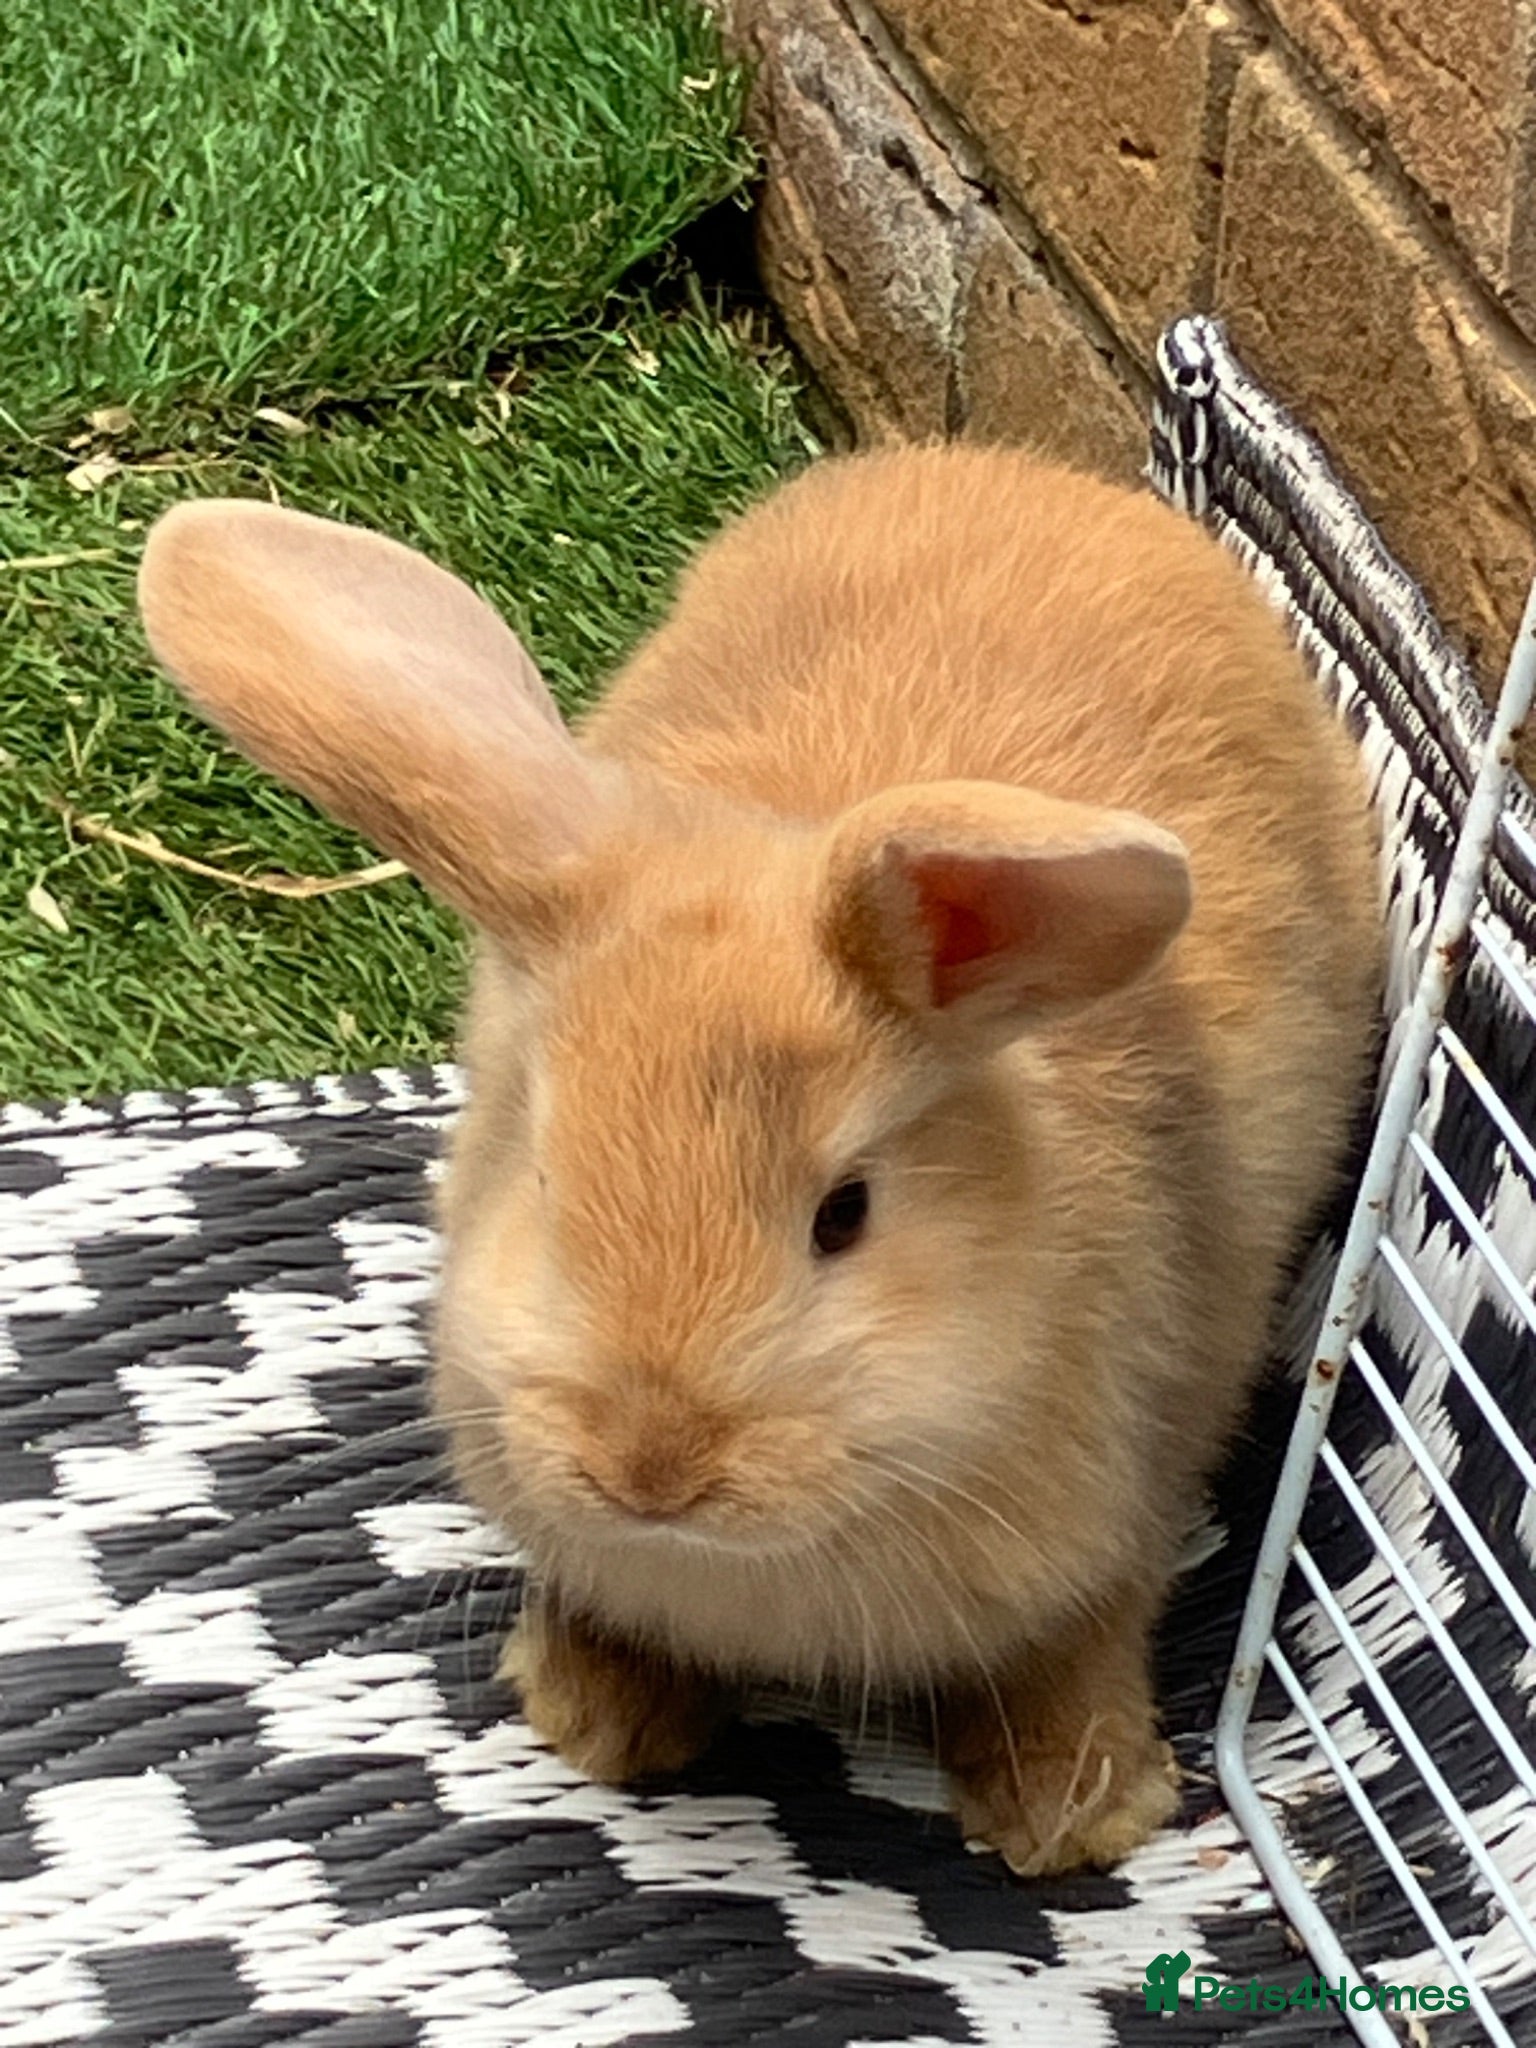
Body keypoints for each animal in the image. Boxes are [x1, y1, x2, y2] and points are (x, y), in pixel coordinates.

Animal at [137, 442, 1381, 1876]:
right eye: (544, 1178)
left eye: (844, 1212)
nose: (651, 1466)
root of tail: (1024, 471)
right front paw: (595, 1718)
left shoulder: (1151, 1454)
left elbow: (1079, 1635)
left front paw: (1073, 1817)